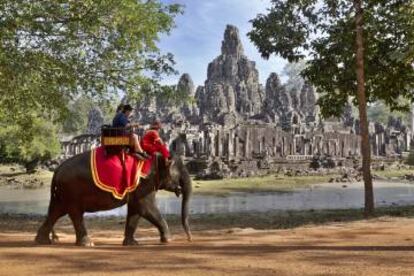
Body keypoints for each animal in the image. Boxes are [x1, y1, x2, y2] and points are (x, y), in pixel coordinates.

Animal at [34, 151, 192, 246]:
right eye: (180, 172)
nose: (189, 238)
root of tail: (57, 170)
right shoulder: (144, 183)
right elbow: (146, 208)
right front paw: (168, 240)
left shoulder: (137, 188)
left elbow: (135, 210)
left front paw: (132, 243)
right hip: (72, 191)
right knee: (74, 214)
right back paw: (87, 244)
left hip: (63, 193)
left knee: (56, 212)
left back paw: (42, 241)